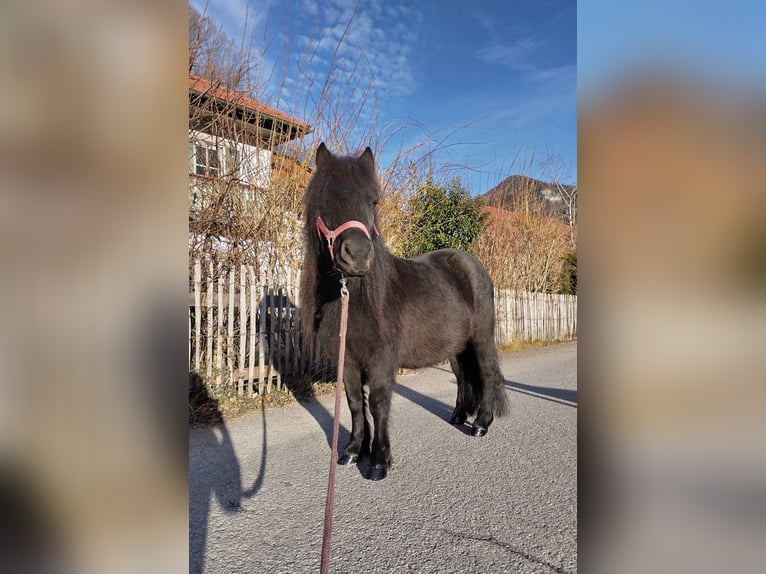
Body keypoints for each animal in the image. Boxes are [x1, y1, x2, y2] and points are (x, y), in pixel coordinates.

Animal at [300, 143, 510, 482]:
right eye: (327, 199)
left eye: (372, 201)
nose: (358, 256)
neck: (355, 299)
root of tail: (472, 265)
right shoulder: (347, 361)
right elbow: (355, 402)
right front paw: (353, 451)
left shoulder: (382, 358)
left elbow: (378, 402)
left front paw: (378, 461)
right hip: (456, 347)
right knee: (463, 376)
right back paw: (457, 416)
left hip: (481, 338)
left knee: (488, 374)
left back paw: (480, 424)